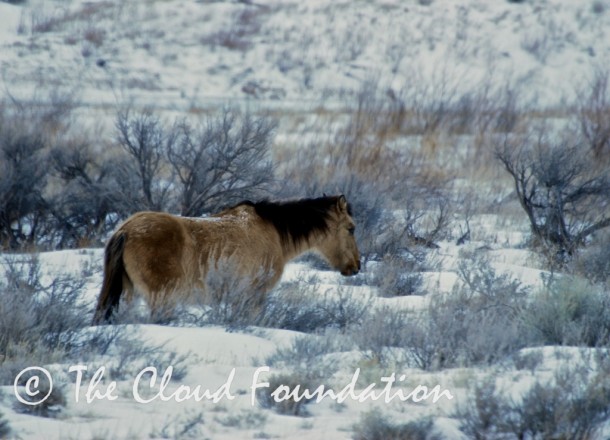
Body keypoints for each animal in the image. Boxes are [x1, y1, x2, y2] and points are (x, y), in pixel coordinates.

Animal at [92, 196, 358, 324]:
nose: (356, 266)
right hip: (162, 298)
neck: (272, 230)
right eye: (351, 228)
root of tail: (125, 230)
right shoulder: (253, 296)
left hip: (128, 294)